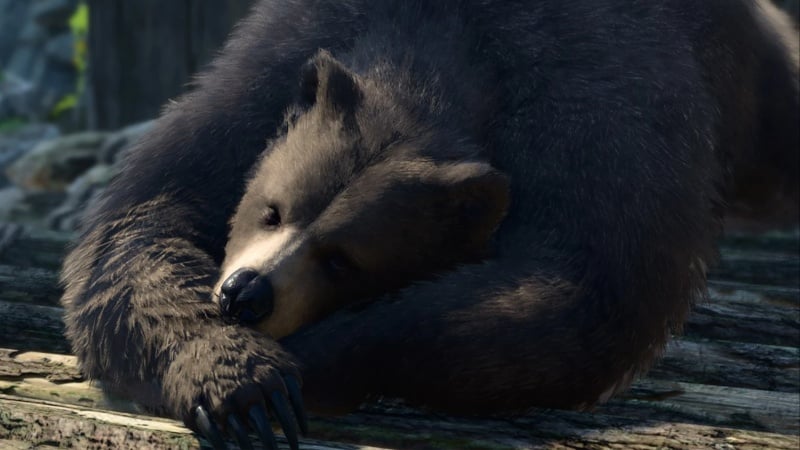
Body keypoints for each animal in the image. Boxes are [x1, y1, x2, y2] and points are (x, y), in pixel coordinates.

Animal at [59, 1, 799, 449]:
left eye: (344, 259)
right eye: (271, 208)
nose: (245, 294)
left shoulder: (606, 107)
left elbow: (578, 294)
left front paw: (315, 359)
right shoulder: (266, 70)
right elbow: (145, 218)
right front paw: (239, 381)